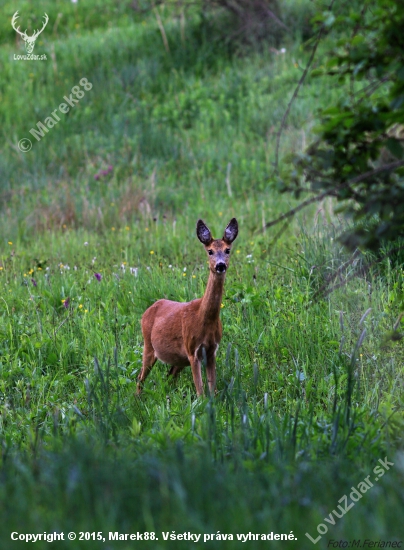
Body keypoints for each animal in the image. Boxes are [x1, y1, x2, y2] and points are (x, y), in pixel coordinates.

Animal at [137, 219, 238, 396]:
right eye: (210, 251)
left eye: (228, 250)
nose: (220, 265)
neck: (203, 318)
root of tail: (148, 309)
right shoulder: (192, 350)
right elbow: (201, 392)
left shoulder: (212, 350)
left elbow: (213, 389)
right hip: (148, 345)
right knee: (140, 377)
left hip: (179, 359)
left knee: (169, 376)